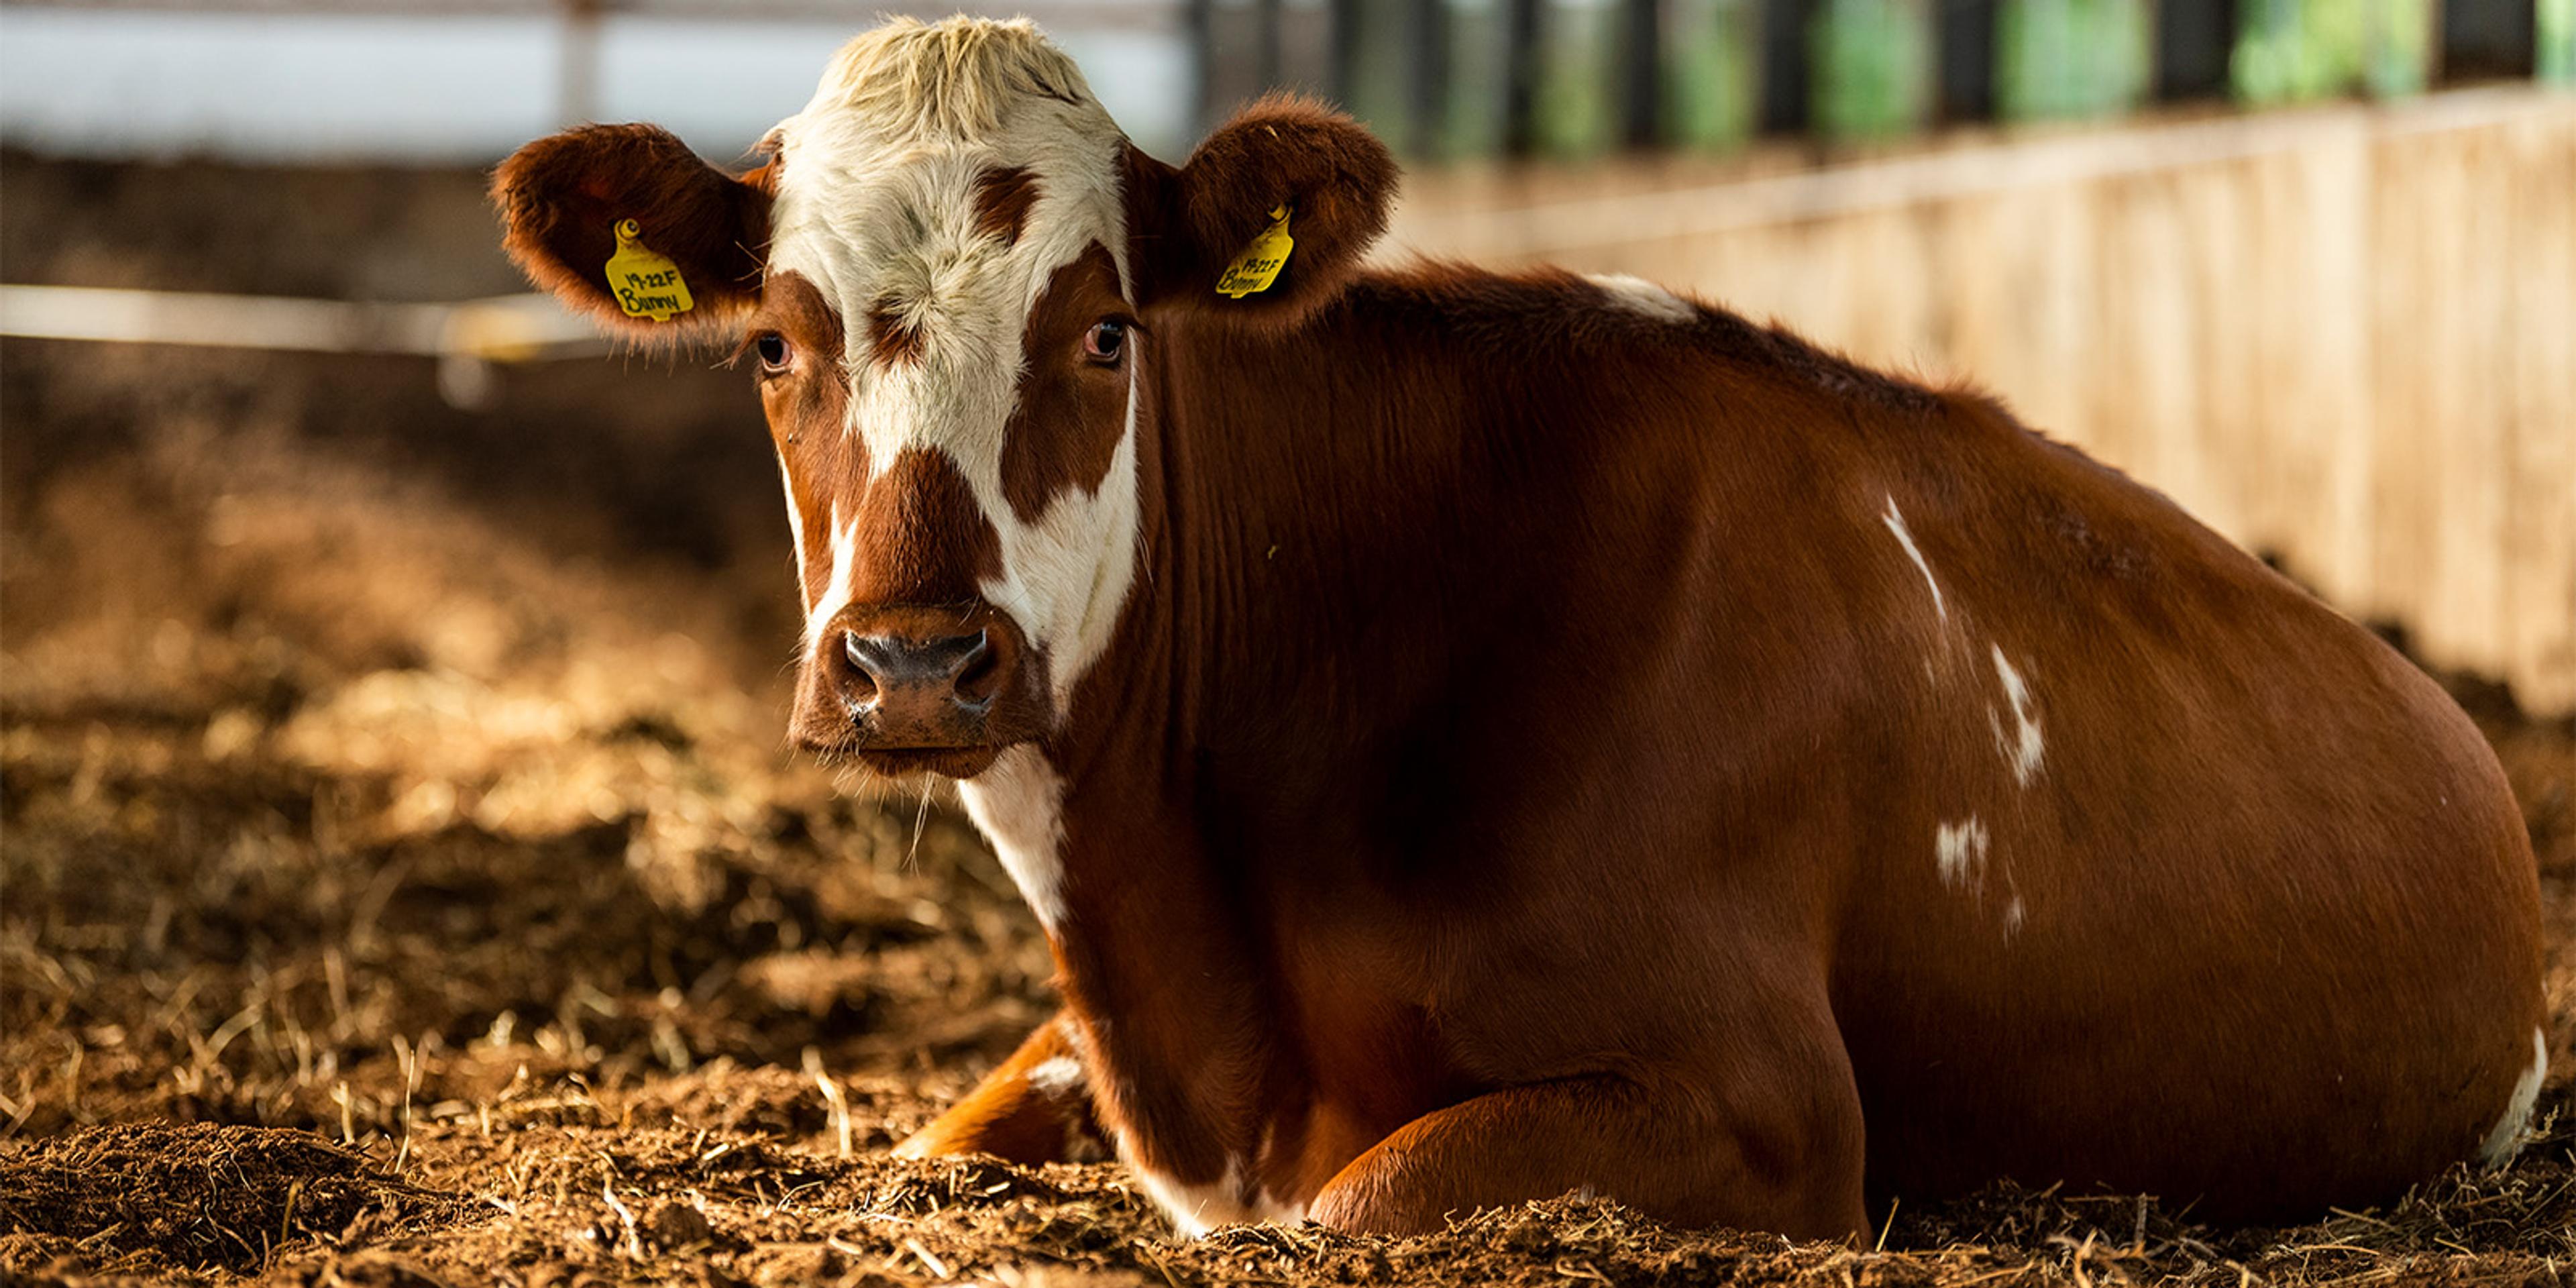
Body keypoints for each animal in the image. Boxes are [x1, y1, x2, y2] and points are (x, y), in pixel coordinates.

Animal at [492, 16, 2549, 1241]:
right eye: (775, 343)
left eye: (1107, 333)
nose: (914, 663)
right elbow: (932, 1142)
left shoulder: (1765, 1100)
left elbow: (1355, 1208)